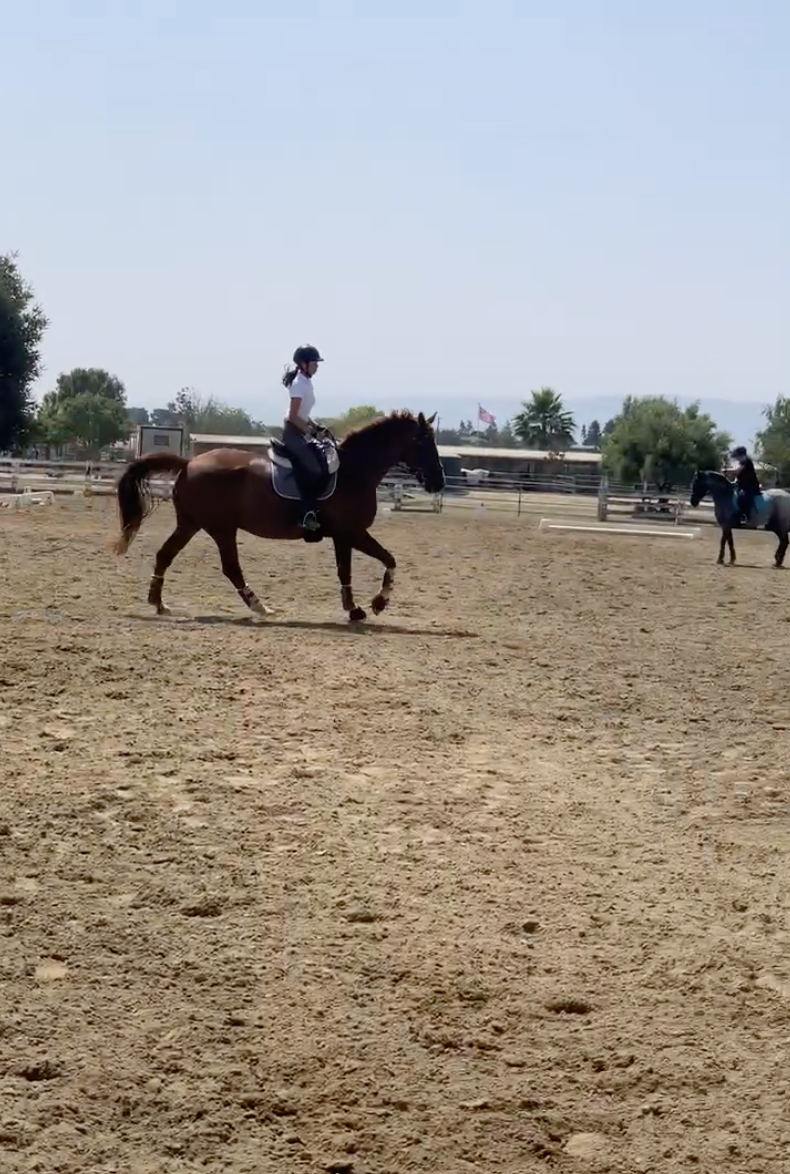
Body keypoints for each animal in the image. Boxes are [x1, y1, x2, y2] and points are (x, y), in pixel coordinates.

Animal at [112, 408, 443, 619]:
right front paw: (377, 603)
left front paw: (354, 609)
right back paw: (260, 607)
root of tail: (188, 463)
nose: (438, 482)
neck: (355, 472)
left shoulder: (343, 537)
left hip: (192, 524)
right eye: (424, 443)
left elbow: (347, 571)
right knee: (230, 567)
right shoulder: (353, 532)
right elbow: (389, 560)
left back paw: (159, 604)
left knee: (165, 555)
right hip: (220, 528)